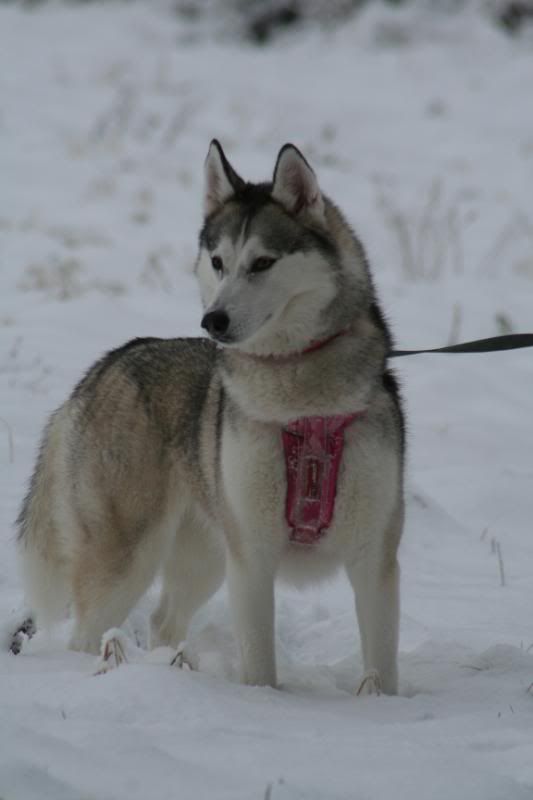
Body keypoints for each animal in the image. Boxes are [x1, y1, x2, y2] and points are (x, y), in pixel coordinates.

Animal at [17, 142, 404, 692]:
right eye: (218, 262)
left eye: (262, 262)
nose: (212, 320)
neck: (302, 399)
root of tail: (107, 364)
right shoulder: (252, 556)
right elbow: (259, 662)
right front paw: (263, 701)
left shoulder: (375, 556)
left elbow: (382, 665)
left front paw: (382, 704)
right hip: (125, 556)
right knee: (88, 630)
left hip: (205, 548)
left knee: (164, 619)